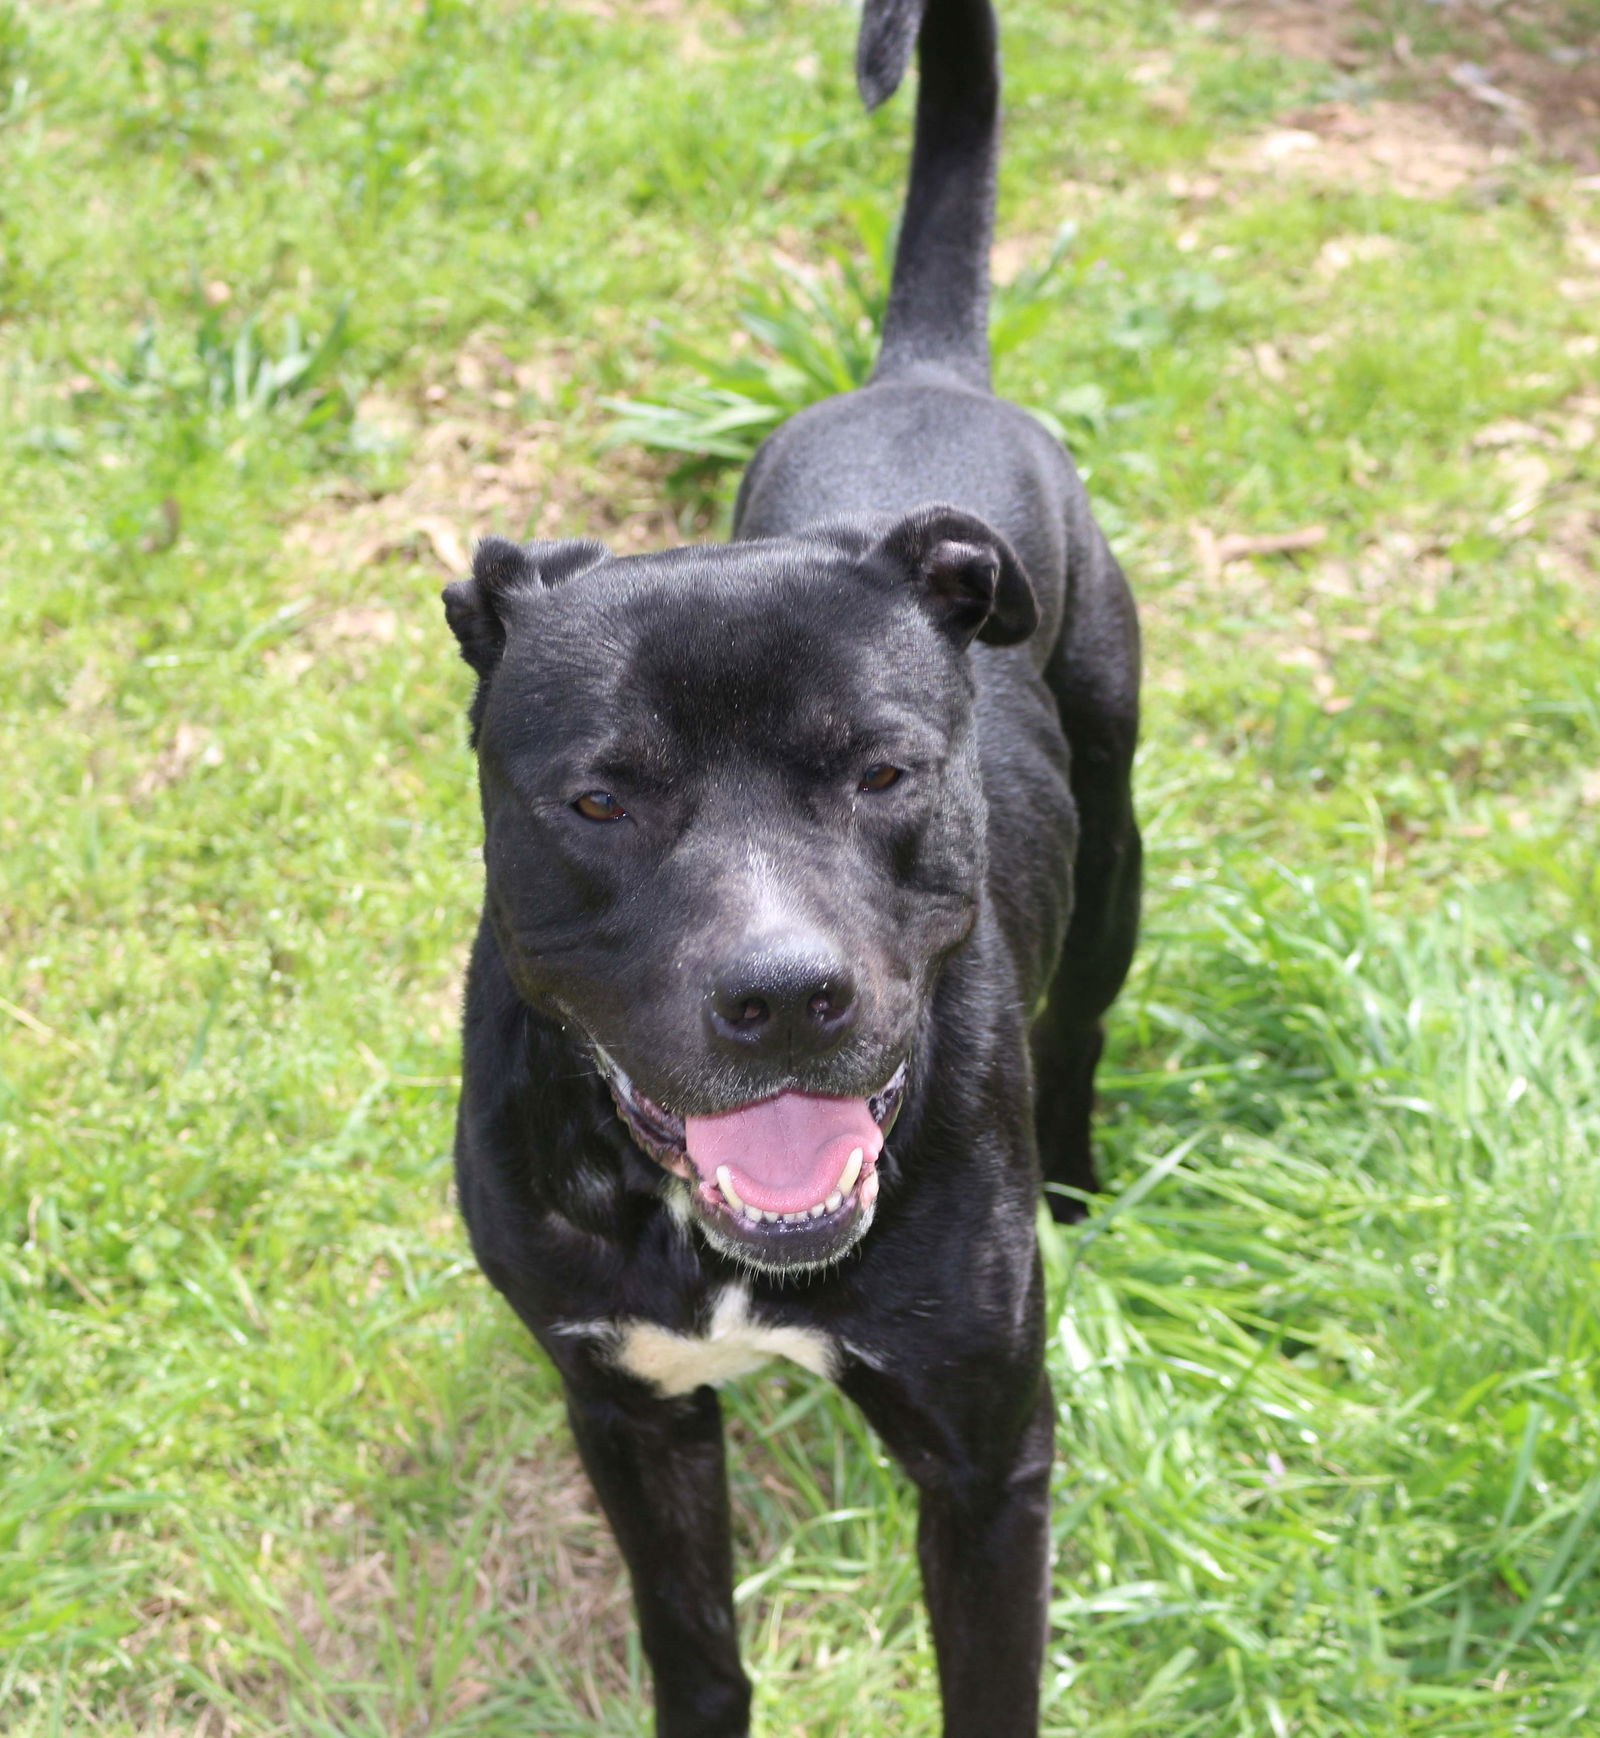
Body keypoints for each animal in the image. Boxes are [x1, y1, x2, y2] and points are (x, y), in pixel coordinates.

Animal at [437, 6, 1139, 1731]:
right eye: (599, 798)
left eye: (885, 772)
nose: (784, 996)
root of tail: (921, 371)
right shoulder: (628, 1409)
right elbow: (695, 1647)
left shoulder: (986, 1459)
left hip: (1119, 830)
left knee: (1086, 1006)